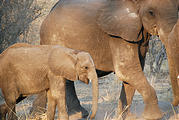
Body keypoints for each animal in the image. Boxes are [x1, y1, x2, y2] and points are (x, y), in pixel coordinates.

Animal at [30, 0, 178, 119]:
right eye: (151, 12)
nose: (172, 104)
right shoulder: (117, 35)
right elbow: (126, 70)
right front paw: (153, 116)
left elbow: (132, 72)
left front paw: (122, 116)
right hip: (52, 38)